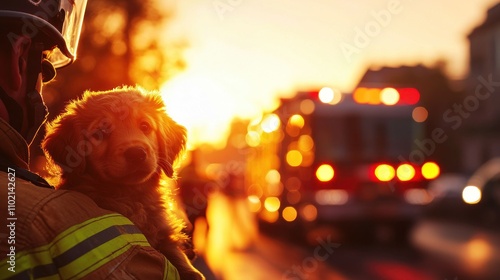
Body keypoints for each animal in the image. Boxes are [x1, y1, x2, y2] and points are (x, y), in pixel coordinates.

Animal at [42, 86, 204, 278]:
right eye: (99, 133)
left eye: (145, 126)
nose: (136, 153)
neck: (132, 196)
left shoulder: (164, 234)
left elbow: (177, 254)